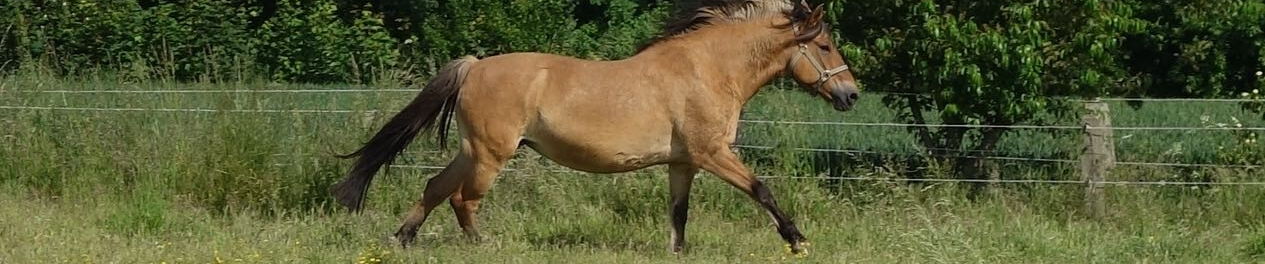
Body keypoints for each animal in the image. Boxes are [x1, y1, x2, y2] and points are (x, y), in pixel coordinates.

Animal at [331, 0, 860, 253]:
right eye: (826, 45)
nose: (851, 95)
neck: (707, 69)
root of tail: (474, 65)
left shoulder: (683, 163)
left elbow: (679, 213)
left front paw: (678, 252)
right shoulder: (713, 153)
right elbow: (762, 189)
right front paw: (797, 239)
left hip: (472, 150)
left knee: (435, 187)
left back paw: (402, 238)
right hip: (490, 154)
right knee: (463, 200)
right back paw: (481, 244)